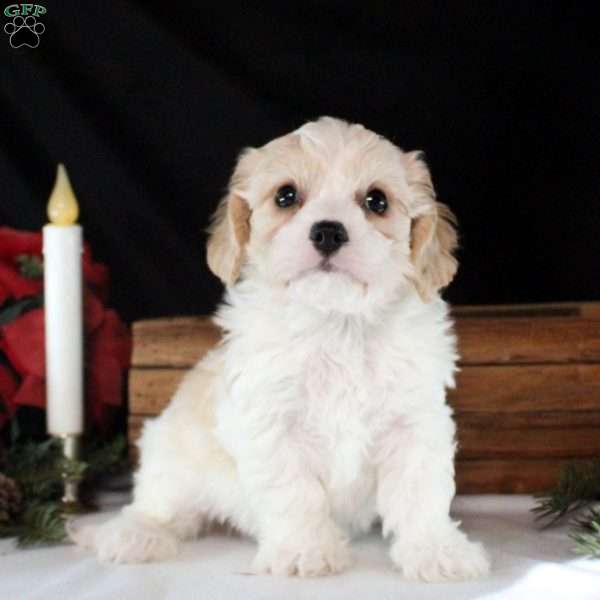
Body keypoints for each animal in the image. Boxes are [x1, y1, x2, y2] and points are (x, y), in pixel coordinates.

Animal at [72, 116, 490, 580]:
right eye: (286, 196)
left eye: (377, 201)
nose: (328, 231)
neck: (336, 324)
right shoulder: (271, 425)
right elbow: (295, 493)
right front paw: (305, 550)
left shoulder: (415, 423)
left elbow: (421, 493)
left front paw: (435, 550)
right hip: (171, 460)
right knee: (154, 507)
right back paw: (135, 536)